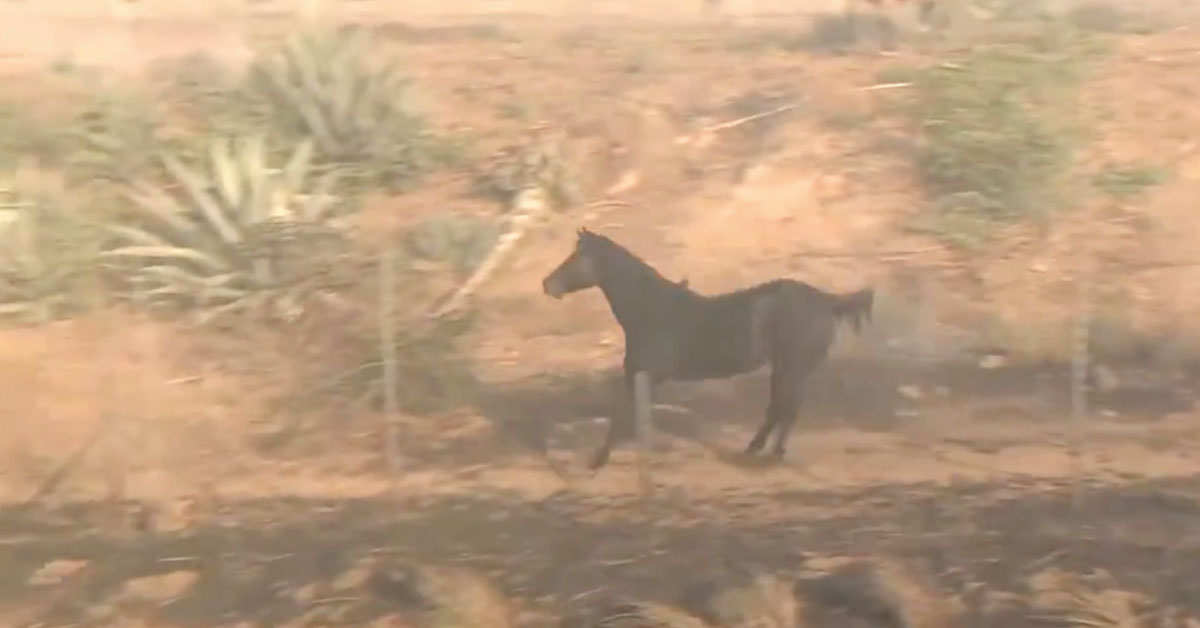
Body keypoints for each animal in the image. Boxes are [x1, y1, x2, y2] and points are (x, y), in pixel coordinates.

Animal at [541, 228, 874, 471]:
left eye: (576, 257)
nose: (547, 284)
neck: (650, 308)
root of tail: (826, 300)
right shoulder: (639, 376)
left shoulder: (647, 375)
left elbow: (624, 417)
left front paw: (599, 460)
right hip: (783, 368)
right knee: (777, 408)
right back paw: (753, 449)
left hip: (794, 368)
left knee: (788, 409)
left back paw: (773, 454)